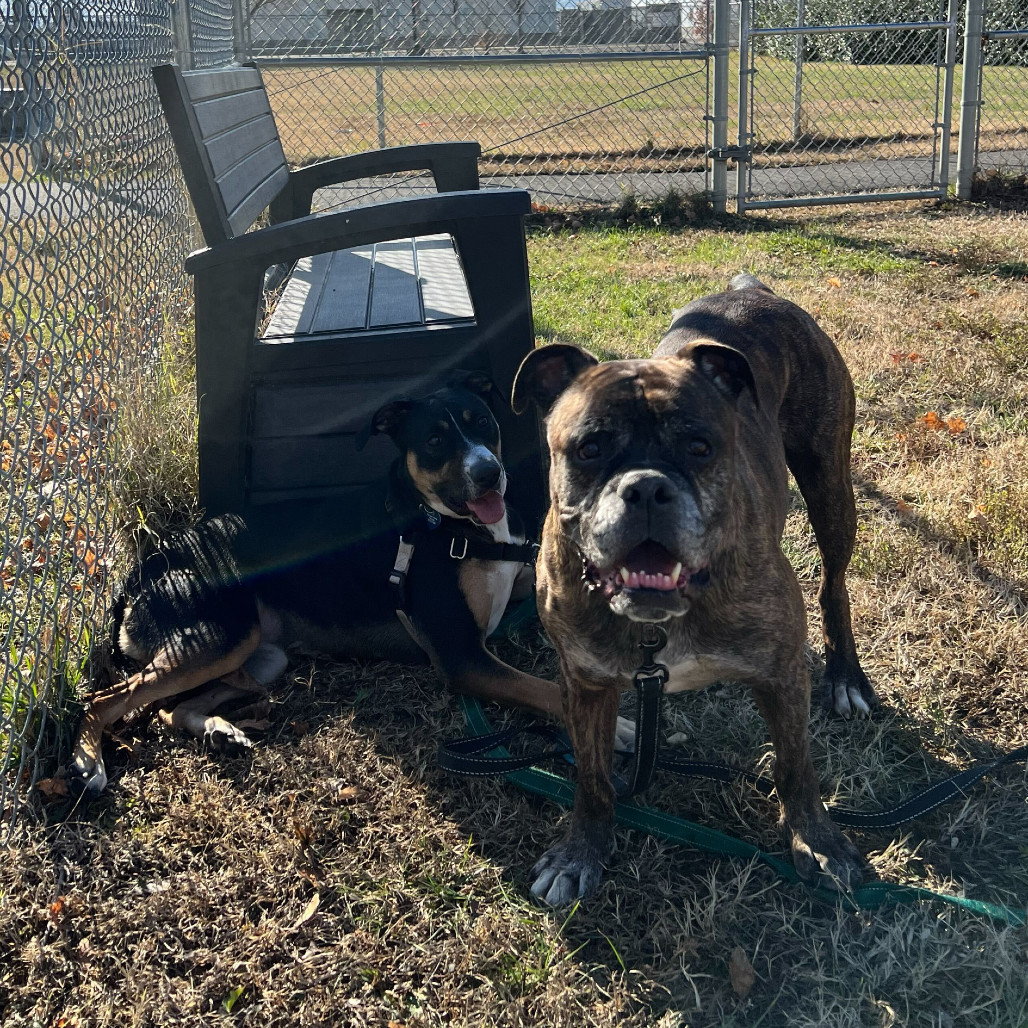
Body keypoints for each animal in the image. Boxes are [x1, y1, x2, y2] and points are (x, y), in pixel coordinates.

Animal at [70, 370, 563, 793]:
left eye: (482, 422)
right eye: (435, 440)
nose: (488, 473)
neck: (446, 526)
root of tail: (145, 568)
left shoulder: (518, 584)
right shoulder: (461, 656)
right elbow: (549, 691)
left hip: (260, 656)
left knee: (170, 709)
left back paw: (220, 732)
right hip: (219, 637)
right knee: (104, 699)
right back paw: (88, 762)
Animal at [511, 275, 875, 908]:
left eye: (700, 447)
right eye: (589, 449)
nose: (647, 488)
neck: (656, 627)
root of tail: (757, 290)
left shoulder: (782, 673)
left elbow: (795, 765)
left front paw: (818, 840)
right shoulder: (584, 685)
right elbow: (592, 776)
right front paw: (581, 850)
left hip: (831, 485)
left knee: (834, 587)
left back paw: (846, 677)